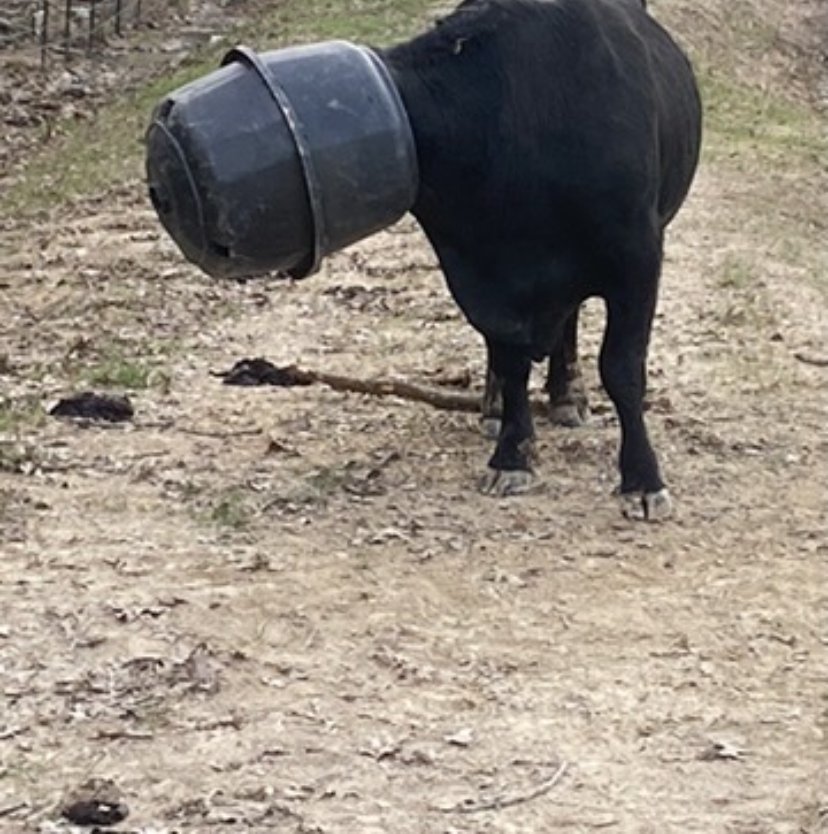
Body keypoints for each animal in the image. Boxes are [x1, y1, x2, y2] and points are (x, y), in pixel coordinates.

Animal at [380, 0, 702, 519]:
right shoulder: (488, 278)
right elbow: (510, 359)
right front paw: (512, 454)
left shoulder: (637, 257)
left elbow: (622, 367)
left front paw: (642, 480)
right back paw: (497, 405)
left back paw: (568, 394)